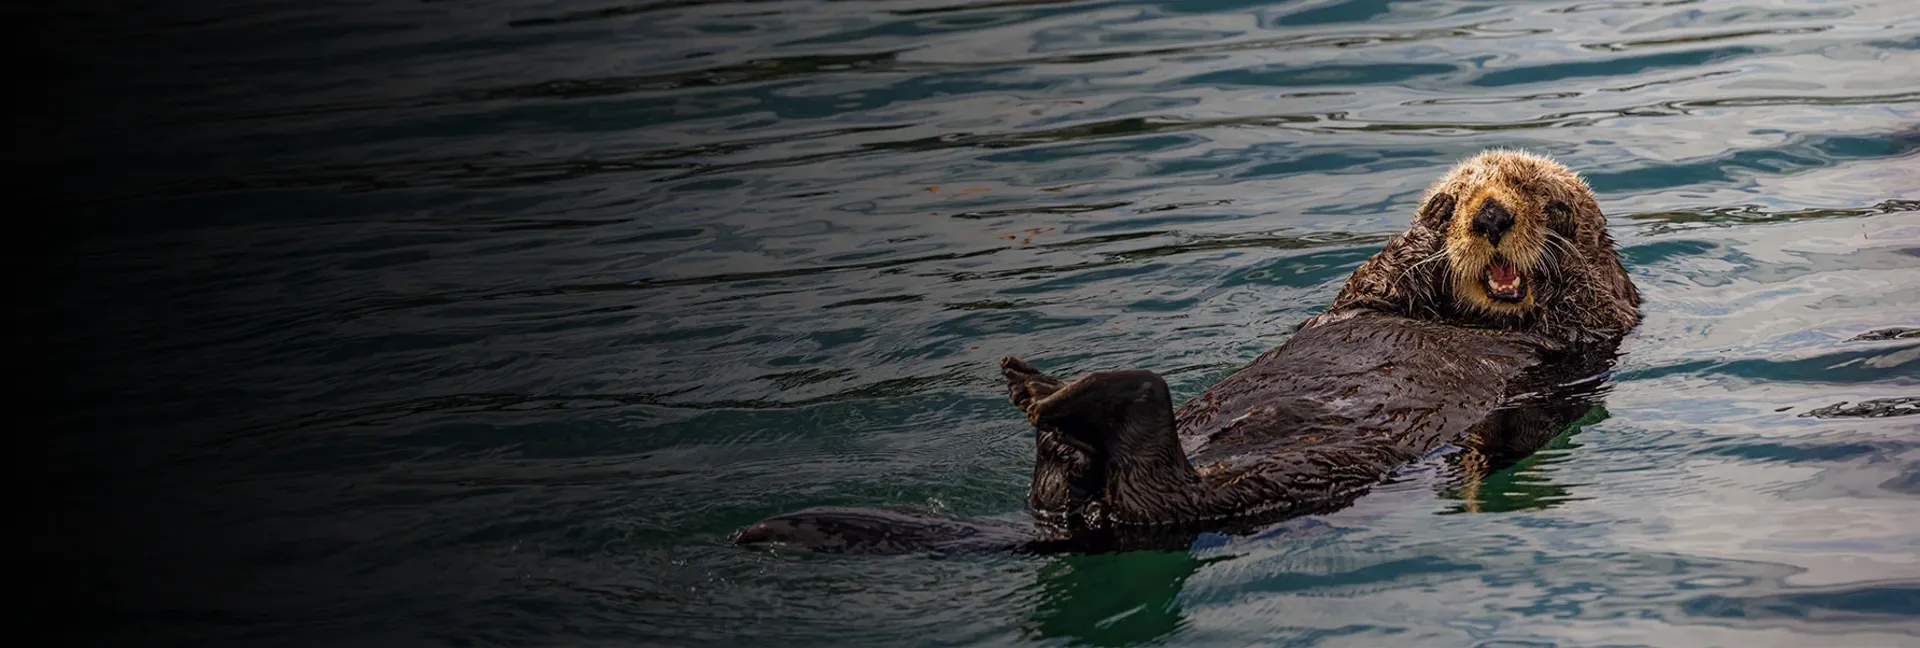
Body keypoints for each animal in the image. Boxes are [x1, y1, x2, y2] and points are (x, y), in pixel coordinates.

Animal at [735, 150, 1641, 555]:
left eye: (1549, 202)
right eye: (1452, 201)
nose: (1488, 215)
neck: (1477, 323)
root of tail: (1082, 525)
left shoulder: (1582, 350)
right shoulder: (1373, 294)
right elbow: (1378, 281)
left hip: (1223, 491)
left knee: (1145, 472)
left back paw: (1062, 398)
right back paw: (1047, 401)